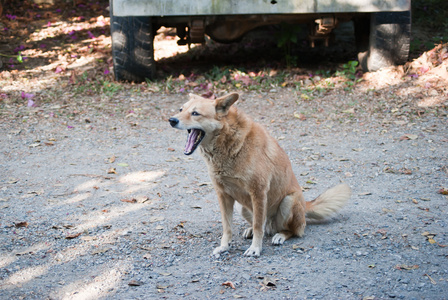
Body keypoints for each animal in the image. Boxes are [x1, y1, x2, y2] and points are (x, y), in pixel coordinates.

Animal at [168, 92, 350, 256]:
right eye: (181, 109)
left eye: (195, 113)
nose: (171, 120)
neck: (230, 145)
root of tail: (306, 206)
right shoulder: (223, 195)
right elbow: (227, 226)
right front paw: (224, 246)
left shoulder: (258, 192)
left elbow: (258, 226)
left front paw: (255, 248)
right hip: (243, 208)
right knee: (263, 225)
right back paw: (251, 230)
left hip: (288, 201)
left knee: (290, 231)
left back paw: (280, 236)